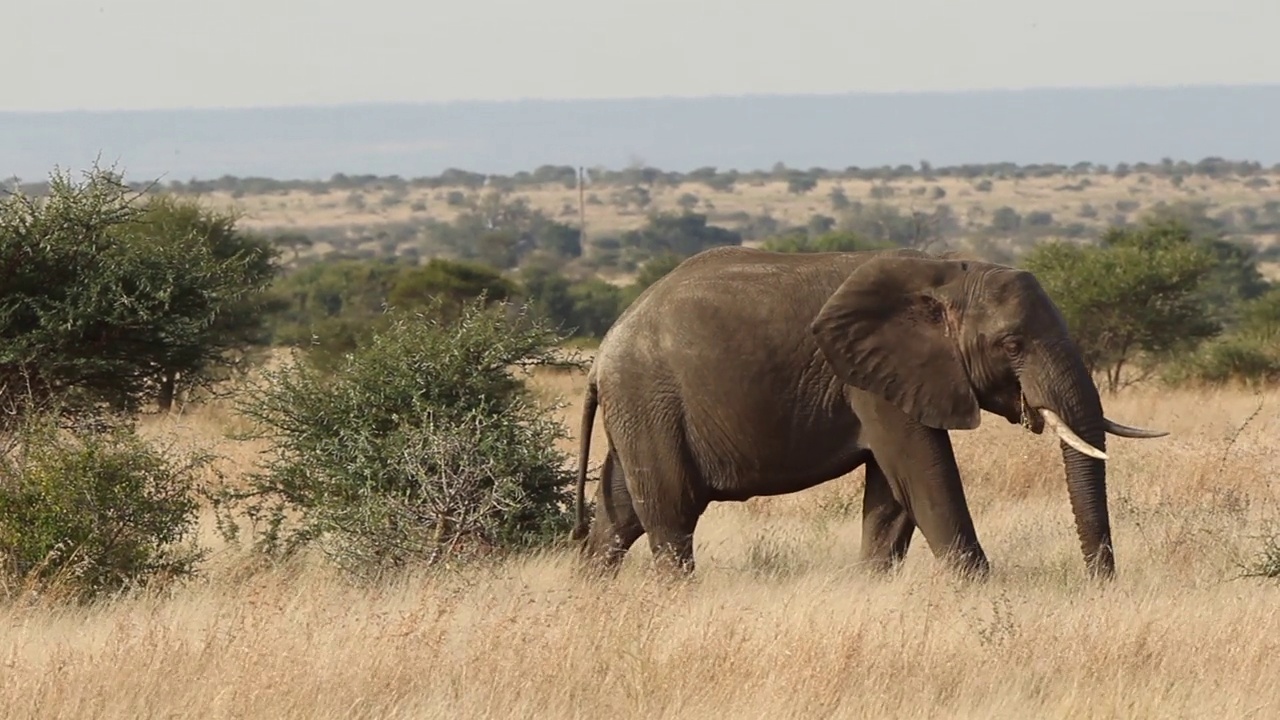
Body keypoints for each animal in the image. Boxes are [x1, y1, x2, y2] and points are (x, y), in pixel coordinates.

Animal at [570, 244, 1172, 576]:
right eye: (1011, 345)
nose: (1099, 586)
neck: (948, 274)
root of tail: (601, 355)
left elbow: (892, 495)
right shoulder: (874, 380)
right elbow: (925, 478)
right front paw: (980, 592)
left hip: (642, 409)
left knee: (620, 515)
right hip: (650, 400)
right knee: (670, 514)